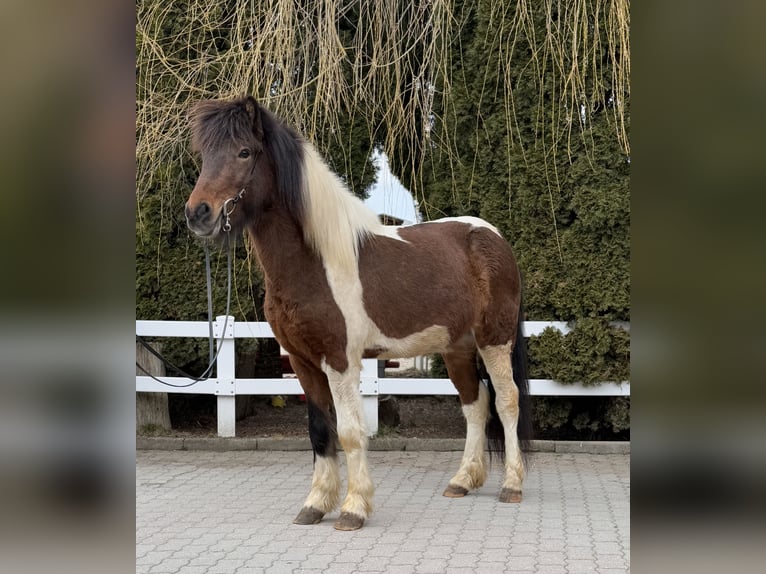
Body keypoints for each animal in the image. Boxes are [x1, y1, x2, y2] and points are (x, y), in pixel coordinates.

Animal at [187, 97, 536, 532]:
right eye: (204, 155)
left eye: (244, 152)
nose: (198, 214)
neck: (314, 260)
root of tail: (493, 237)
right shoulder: (302, 362)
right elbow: (320, 431)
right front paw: (315, 504)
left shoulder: (339, 361)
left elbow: (351, 432)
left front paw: (353, 508)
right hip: (456, 348)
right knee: (476, 404)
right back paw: (462, 481)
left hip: (494, 340)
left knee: (507, 401)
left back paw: (512, 485)